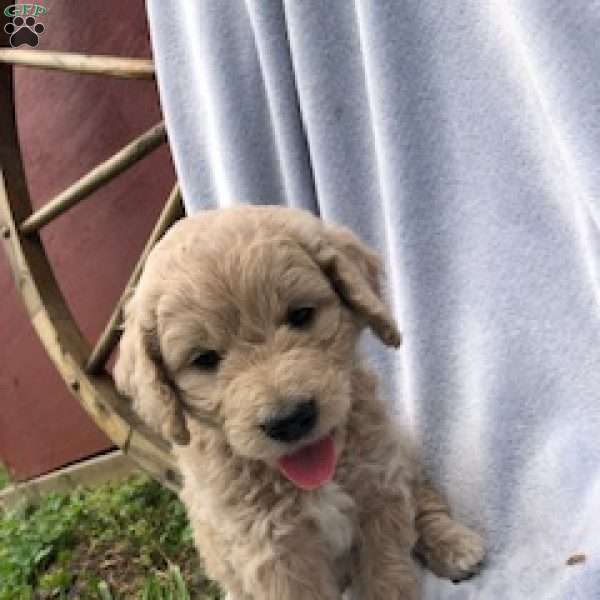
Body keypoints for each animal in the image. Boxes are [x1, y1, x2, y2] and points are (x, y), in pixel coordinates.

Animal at [115, 207, 486, 600]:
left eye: (301, 315)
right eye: (204, 359)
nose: (289, 419)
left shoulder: (379, 491)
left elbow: (389, 576)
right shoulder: (276, 550)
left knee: (425, 499)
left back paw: (455, 543)